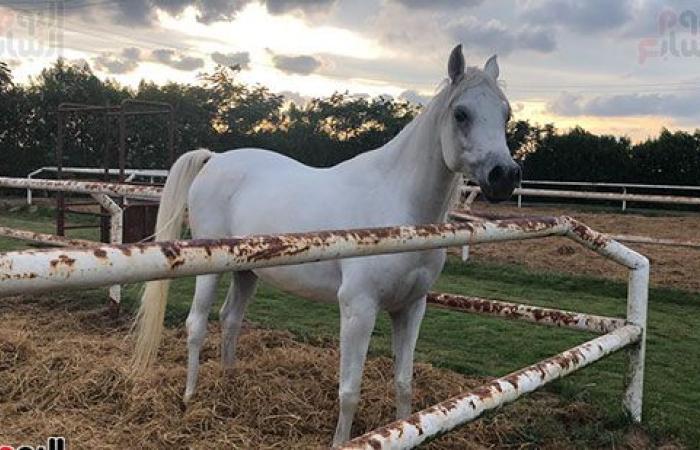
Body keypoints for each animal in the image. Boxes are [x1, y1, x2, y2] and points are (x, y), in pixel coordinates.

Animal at [134, 45, 524, 446]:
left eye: (506, 114)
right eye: (461, 113)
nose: (505, 176)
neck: (399, 211)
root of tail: (215, 158)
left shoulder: (411, 308)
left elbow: (404, 382)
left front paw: (407, 429)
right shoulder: (358, 308)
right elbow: (349, 391)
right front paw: (341, 441)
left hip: (247, 271)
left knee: (230, 320)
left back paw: (229, 384)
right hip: (210, 268)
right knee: (196, 325)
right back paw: (189, 397)